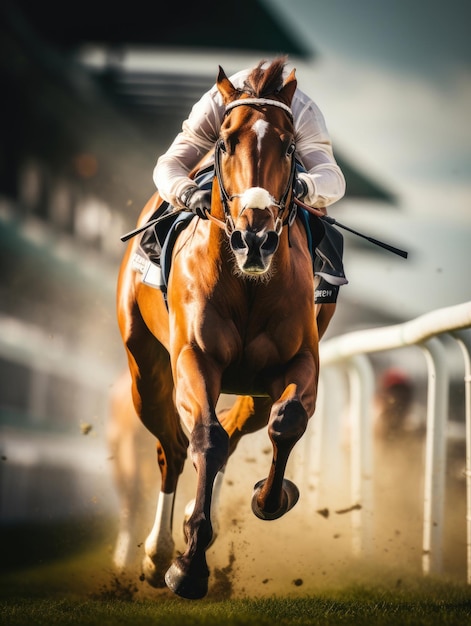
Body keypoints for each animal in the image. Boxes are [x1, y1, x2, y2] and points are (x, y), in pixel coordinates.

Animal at [117, 59, 332, 600]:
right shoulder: (193, 358)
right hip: (145, 372)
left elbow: (287, 421)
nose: (254, 235)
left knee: (237, 434)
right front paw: (188, 566)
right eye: (224, 142)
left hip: (253, 389)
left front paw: (271, 499)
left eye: (290, 146)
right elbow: (205, 440)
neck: (248, 283)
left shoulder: (298, 362)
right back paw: (158, 552)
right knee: (175, 448)